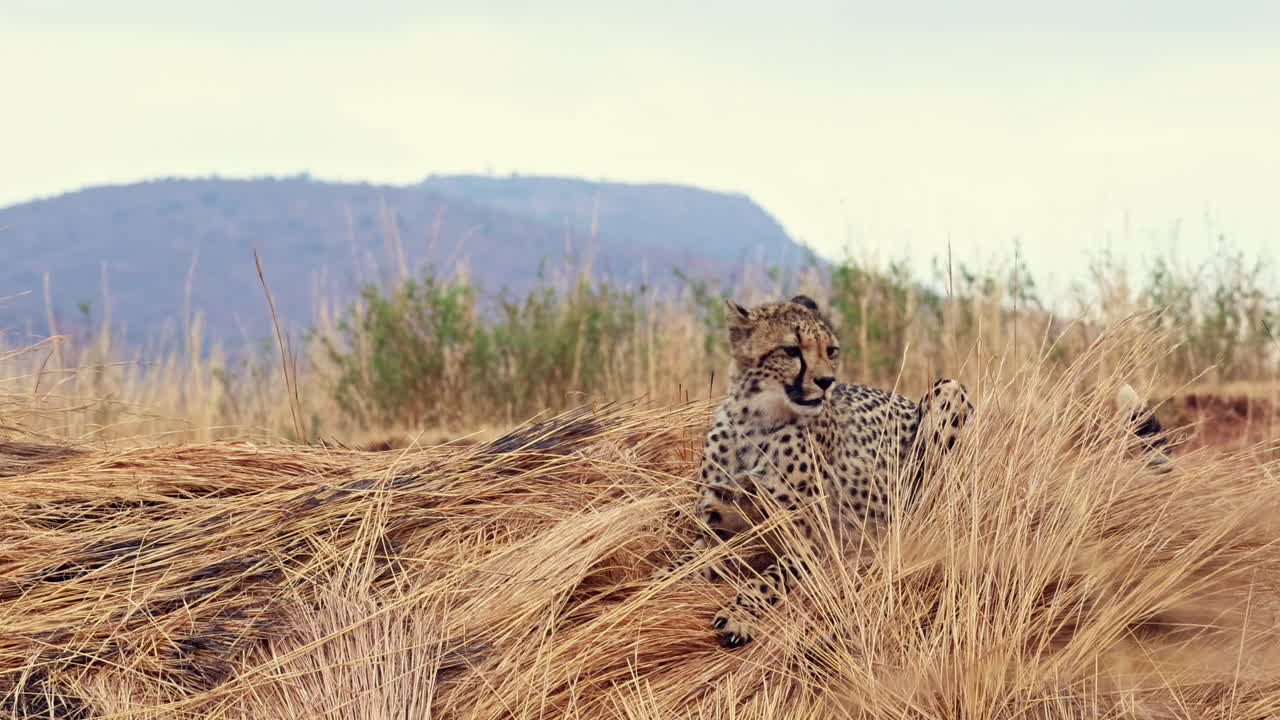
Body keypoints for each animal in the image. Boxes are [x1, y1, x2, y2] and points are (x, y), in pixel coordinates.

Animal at [653, 294, 974, 648]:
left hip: (949, 390)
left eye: (830, 350)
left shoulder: (808, 542)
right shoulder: (717, 535)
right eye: (791, 350)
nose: (826, 382)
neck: (754, 424)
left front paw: (738, 616)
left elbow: (764, 582)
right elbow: (675, 567)